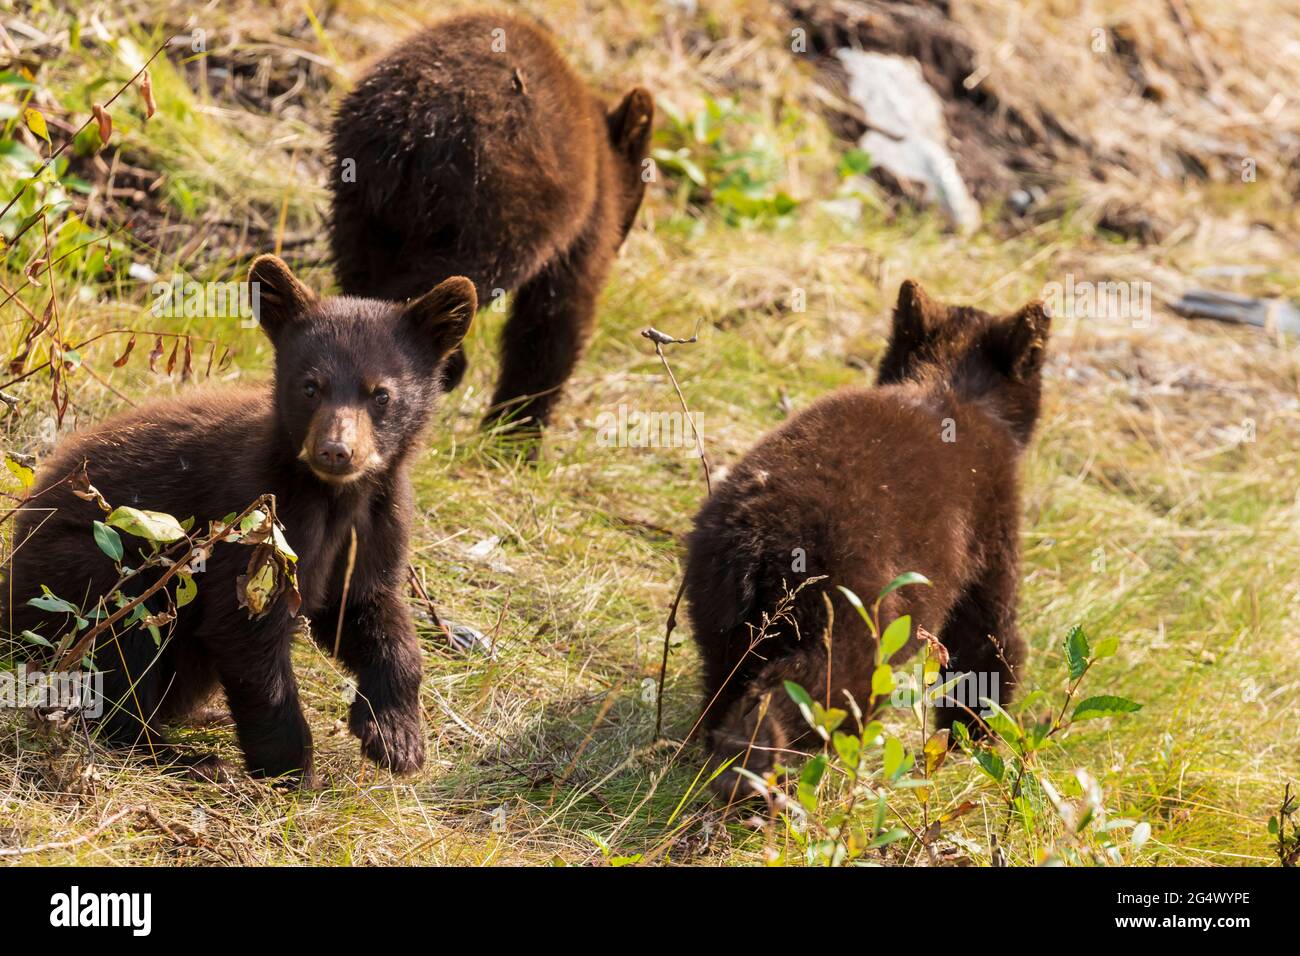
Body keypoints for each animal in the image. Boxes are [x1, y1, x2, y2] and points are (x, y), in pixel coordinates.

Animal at [0, 256, 478, 785]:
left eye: (381, 395)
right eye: (310, 386)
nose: (336, 451)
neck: (337, 498)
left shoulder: (376, 524)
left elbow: (370, 610)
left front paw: (396, 736)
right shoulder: (258, 517)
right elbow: (247, 633)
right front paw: (291, 769)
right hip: (88, 574)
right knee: (119, 652)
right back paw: (184, 756)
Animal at [325, 12, 650, 437]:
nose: (622, 240)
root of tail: (409, 123)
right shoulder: (582, 224)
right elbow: (553, 321)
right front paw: (517, 430)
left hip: (358, 196)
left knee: (360, 271)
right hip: (495, 208)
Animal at [686, 278, 1050, 801]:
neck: (956, 386)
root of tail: (757, 539)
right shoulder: (991, 520)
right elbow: (986, 635)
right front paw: (975, 738)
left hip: (716, 605)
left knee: (722, 679)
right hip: (847, 611)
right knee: (814, 688)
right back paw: (754, 774)